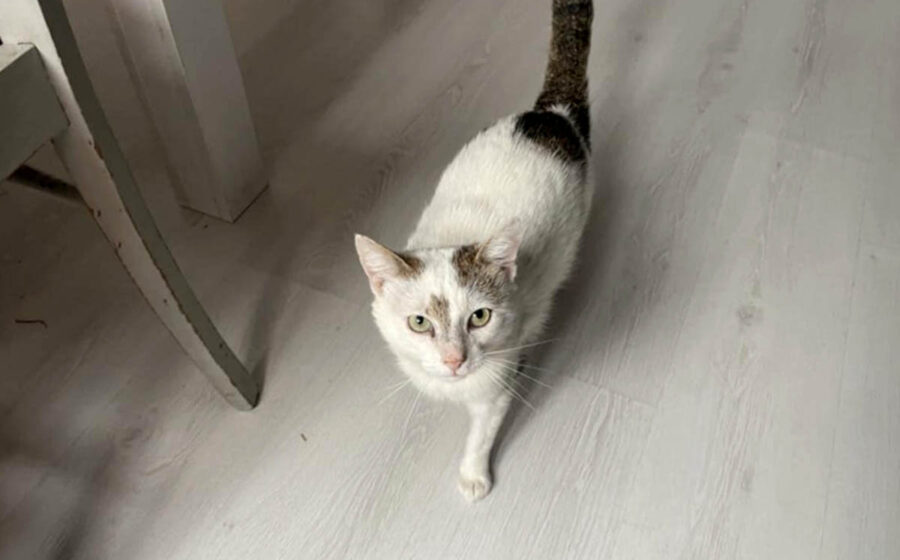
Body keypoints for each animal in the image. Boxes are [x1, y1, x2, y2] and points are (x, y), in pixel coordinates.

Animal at [354, 0, 593, 502]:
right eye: (419, 323)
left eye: (480, 317)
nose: (453, 360)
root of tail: (551, 115)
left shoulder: (500, 378)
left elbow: (482, 431)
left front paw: (473, 475)